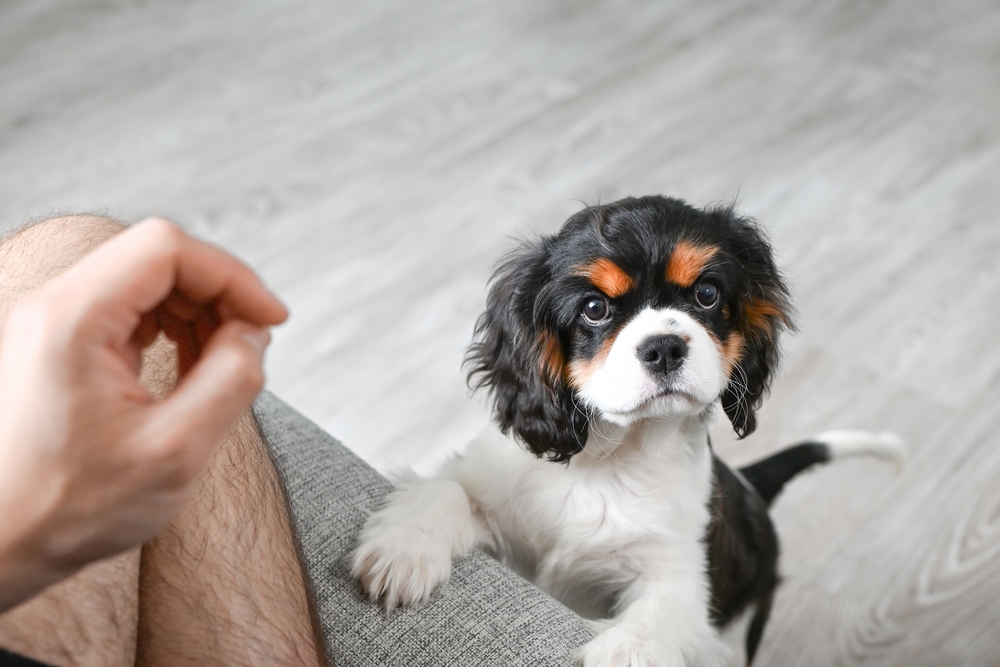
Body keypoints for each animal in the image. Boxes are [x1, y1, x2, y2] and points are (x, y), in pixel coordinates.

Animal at [352, 197, 900, 667]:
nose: (664, 347)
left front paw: (630, 649)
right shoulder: (492, 490)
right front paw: (405, 549)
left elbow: (663, 608)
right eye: (595, 308)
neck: (611, 455)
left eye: (706, 294)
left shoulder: (680, 568)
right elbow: (447, 488)